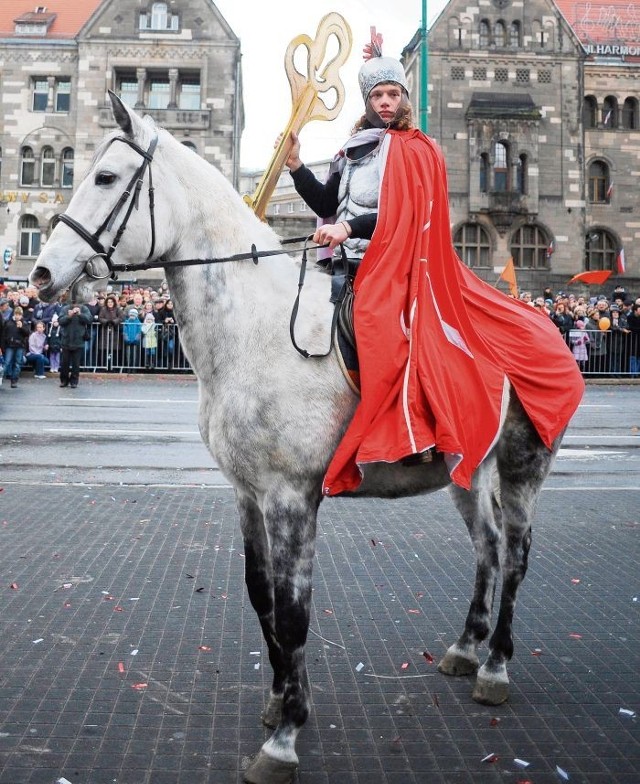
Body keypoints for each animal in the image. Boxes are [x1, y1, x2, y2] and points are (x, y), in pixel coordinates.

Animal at [31, 96, 564, 784]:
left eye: (103, 177)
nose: (41, 274)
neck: (257, 331)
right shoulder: (246, 492)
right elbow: (262, 596)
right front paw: (282, 698)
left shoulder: (292, 496)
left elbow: (294, 609)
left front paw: (284, 737)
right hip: (466, 471)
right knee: (490, 548)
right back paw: (466, 647)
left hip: (524, 463)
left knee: (517, 554)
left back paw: (495, 667)